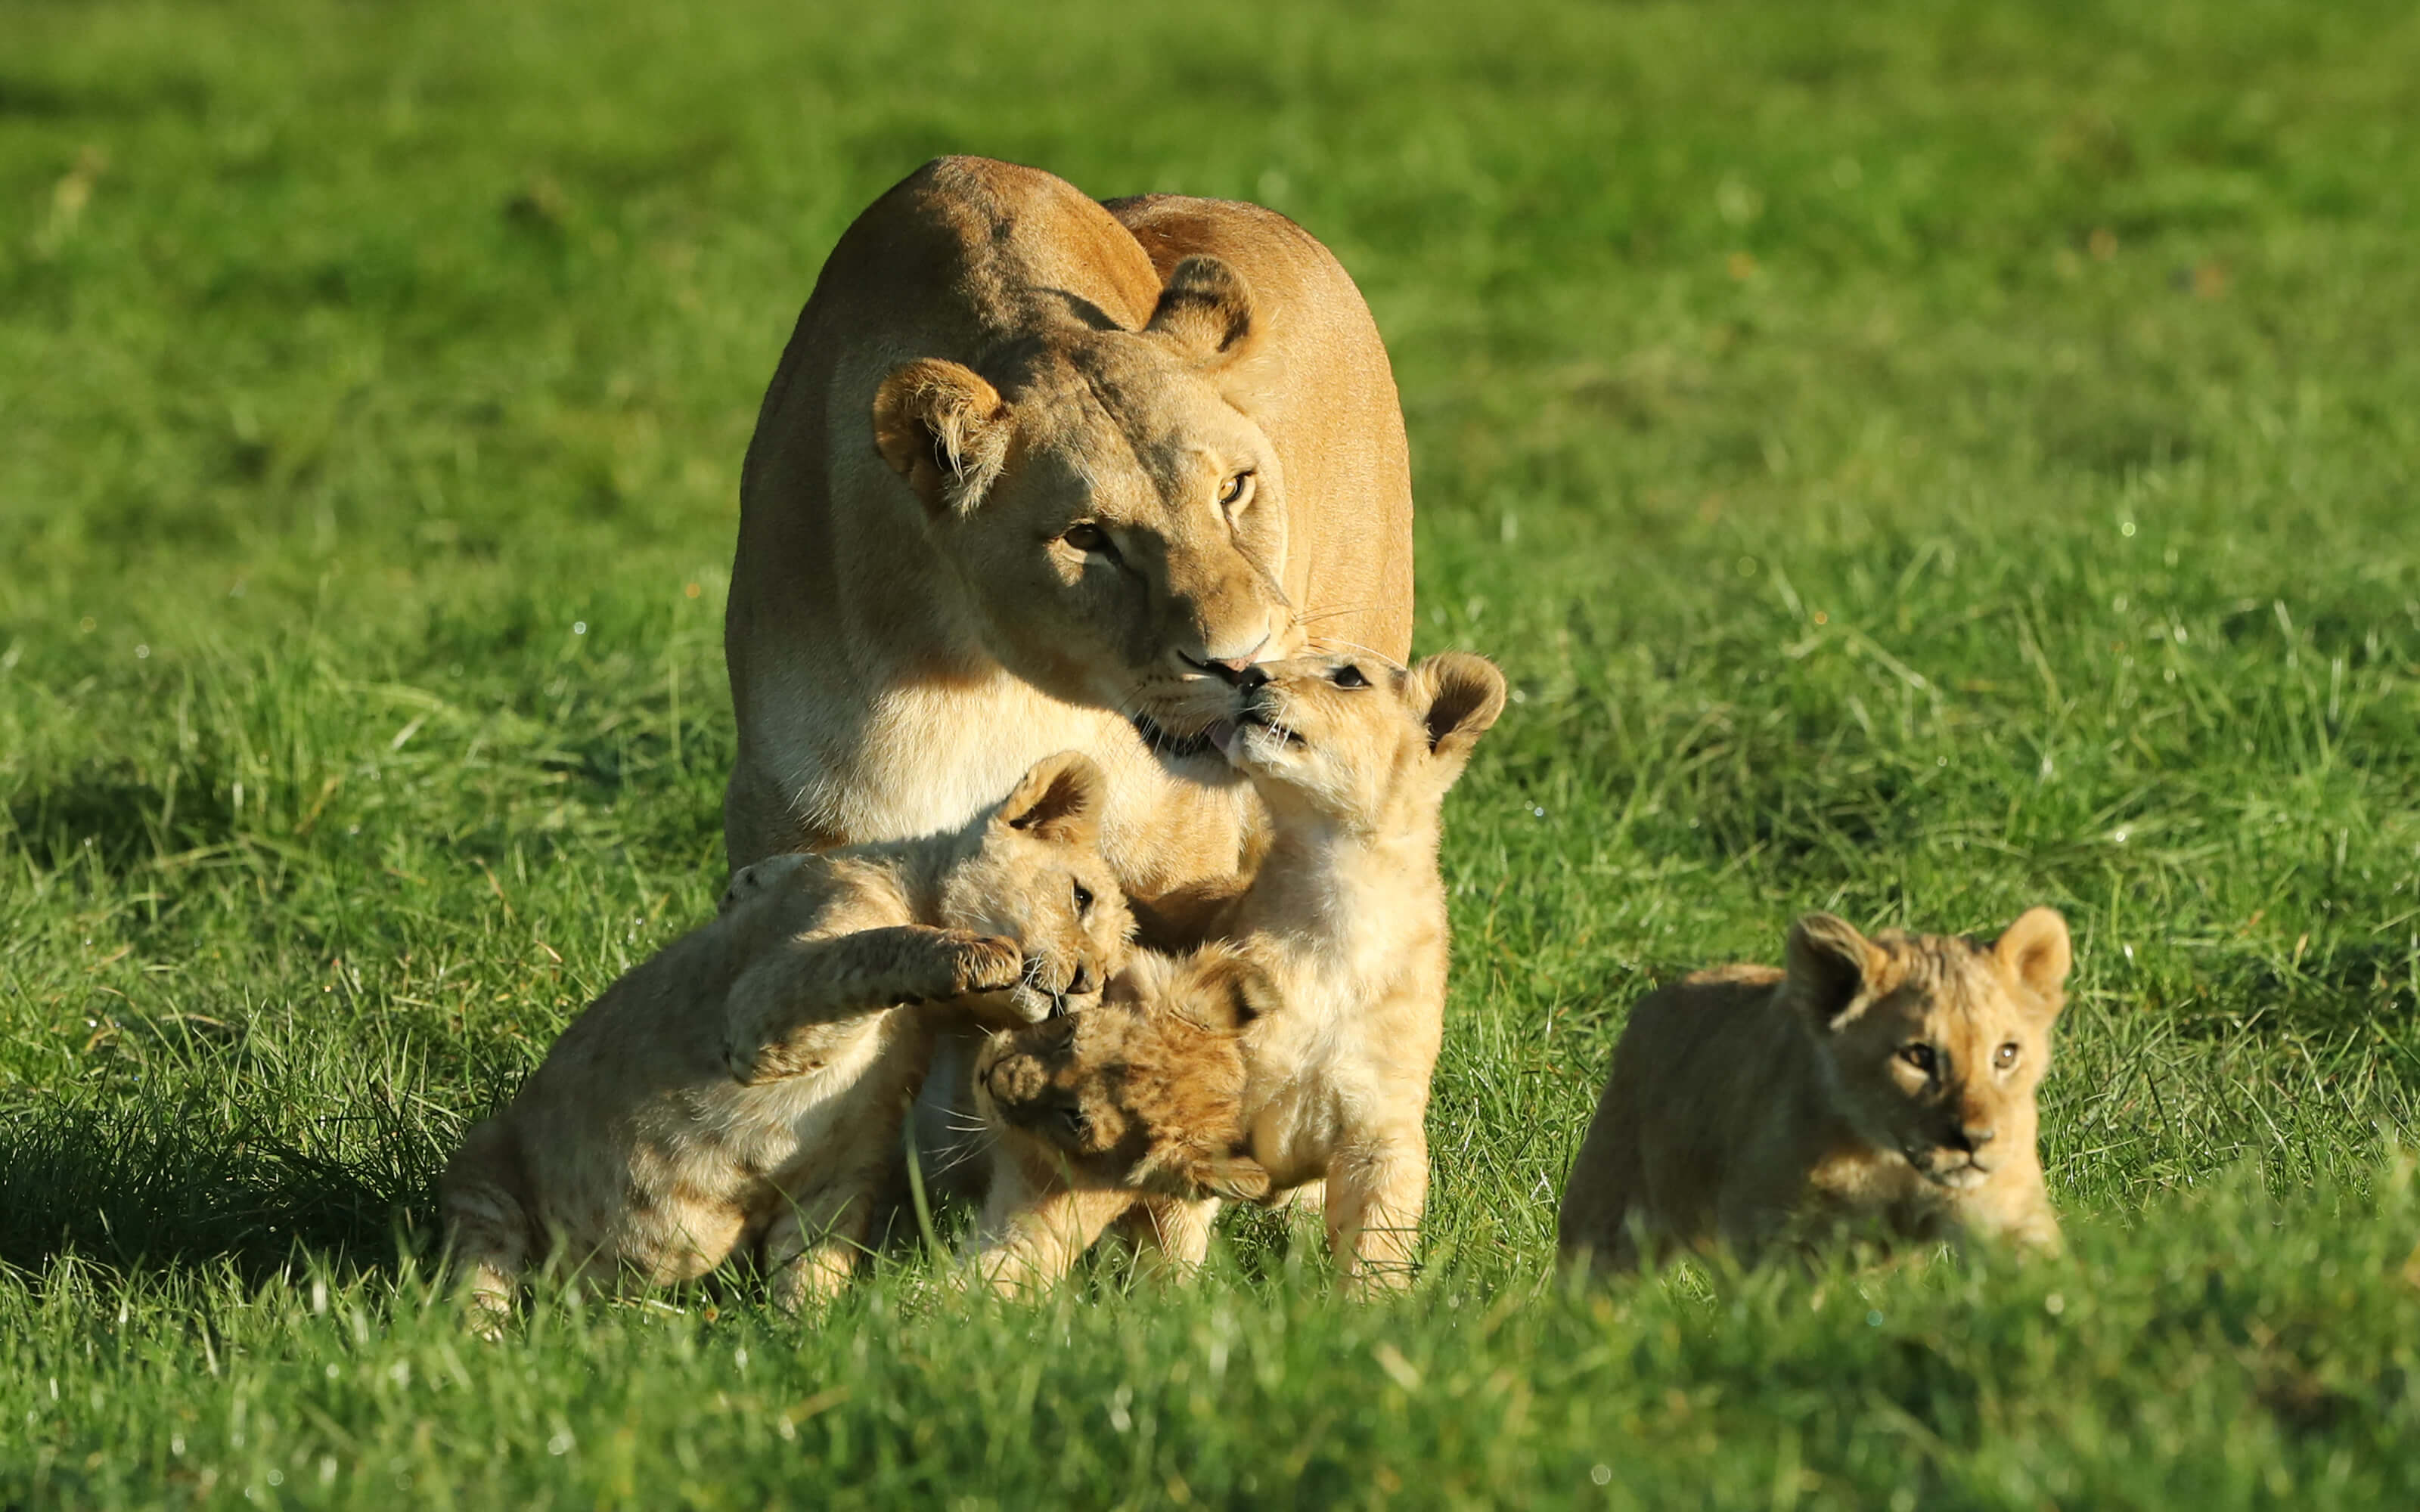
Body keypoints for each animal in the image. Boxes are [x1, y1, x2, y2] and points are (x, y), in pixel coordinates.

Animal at [437, 752, 1132, 1322]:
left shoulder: (837, 1177)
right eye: (1081, 897)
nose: (1086, 981)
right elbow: (871, 947)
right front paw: (977, 955)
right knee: (476, 1286)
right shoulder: (758, 1006)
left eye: (1110, 975)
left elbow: (813, 1270)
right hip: (482, 1177)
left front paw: (810, 1346)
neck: (926, 1022)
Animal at [1556, 908, 2073, 1275]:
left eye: (2006, 1055)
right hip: (1609, 1218)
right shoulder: (1769, 1232)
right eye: (1918, 1056)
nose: (1976, 1141)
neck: (1890, 1155)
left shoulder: (2006, 1210)